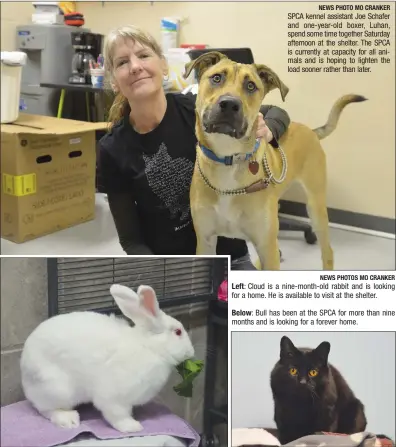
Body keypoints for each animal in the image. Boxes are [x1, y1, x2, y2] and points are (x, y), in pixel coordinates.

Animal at [19, 284, 196, 434]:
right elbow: (116, 415)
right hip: (57, 388)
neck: (149, 347)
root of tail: (24, 369)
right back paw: (68, 419)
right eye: (178, 332)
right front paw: (133, 427)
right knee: (45, 409)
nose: (191, 352)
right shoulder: (113, 397)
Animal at [184, 51, 366, 270]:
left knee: (327, 251)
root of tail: (310, 130)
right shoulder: (205, 241)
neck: (228, 156)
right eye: (217, 78)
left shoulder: (266, 246)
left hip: (315, 207)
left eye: (250, 86)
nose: (229, 104)